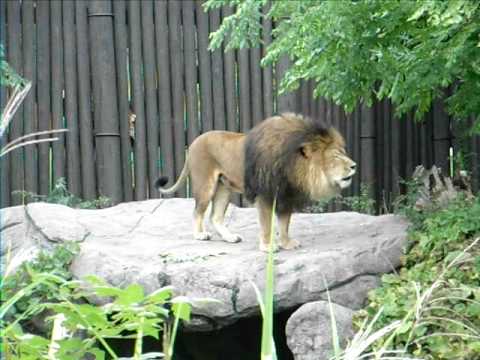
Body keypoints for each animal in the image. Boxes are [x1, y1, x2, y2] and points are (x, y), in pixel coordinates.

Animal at [155, 112, 356, 250]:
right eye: (336, 156)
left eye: (343, 153)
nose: (354, 166)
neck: (292, 166)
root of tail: (193, 142)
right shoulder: (266, 195)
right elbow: (267, 224)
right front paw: (268, 247)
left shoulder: (285, 195)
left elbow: (284, 224)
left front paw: (287, 243)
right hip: (206, 185)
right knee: (197, 212)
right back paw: (200, 235)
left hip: (224, 188)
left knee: (215, 217)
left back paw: (230, 238)